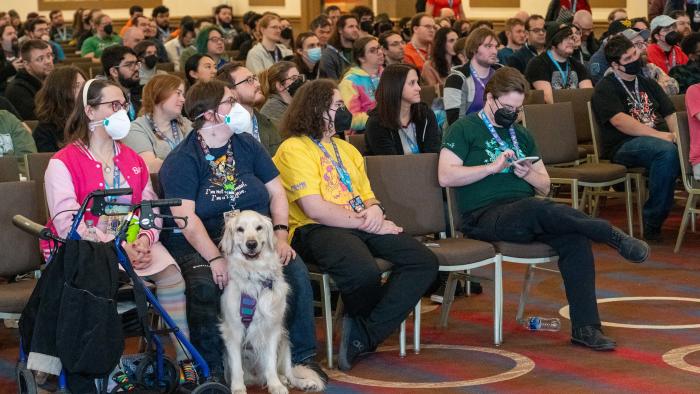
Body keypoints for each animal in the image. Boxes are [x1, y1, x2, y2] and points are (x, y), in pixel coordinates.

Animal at [219, 212, 326, 394]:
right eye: (240, 229)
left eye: (259, 228)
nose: (251, 244)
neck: (255, 273)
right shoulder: (233, 331)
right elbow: (237, 367)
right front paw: (238, 388)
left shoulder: (273, 328)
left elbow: (270, 364)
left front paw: (276, 385)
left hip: (285, 342)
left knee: (288, 372)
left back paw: (299, 382)